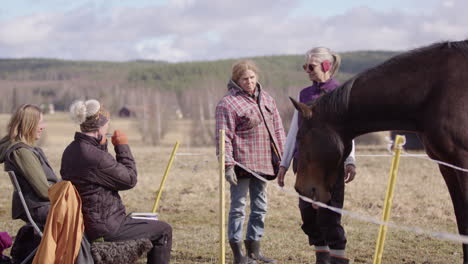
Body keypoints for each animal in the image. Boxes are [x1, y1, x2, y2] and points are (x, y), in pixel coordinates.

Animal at [292, 39, 468, 262]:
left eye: (300, 137)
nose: (300, 189)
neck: (436, 90)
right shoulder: (448, 166)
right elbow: (462, 222)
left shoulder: (463, 163)